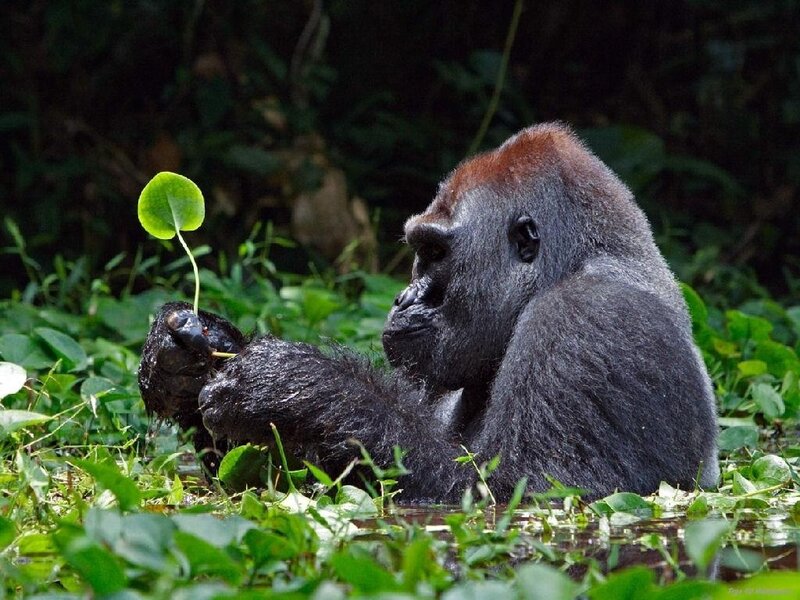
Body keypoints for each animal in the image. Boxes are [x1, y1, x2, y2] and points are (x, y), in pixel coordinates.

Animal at [139, 122, 719, 502]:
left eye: (436, 253)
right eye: (421, 250)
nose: (403, 298)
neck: (572, 263)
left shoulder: (591, 320)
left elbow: (519, 490)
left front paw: (295, 386)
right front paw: (183, 358)